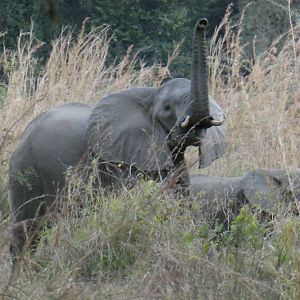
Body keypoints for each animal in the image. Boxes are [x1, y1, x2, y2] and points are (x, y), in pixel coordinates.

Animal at [8, 18, 225, 258]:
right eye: (167, 108)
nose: (203, 22)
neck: (149, 94)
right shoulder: (122, 162)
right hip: (28, 169)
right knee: (29, 228)